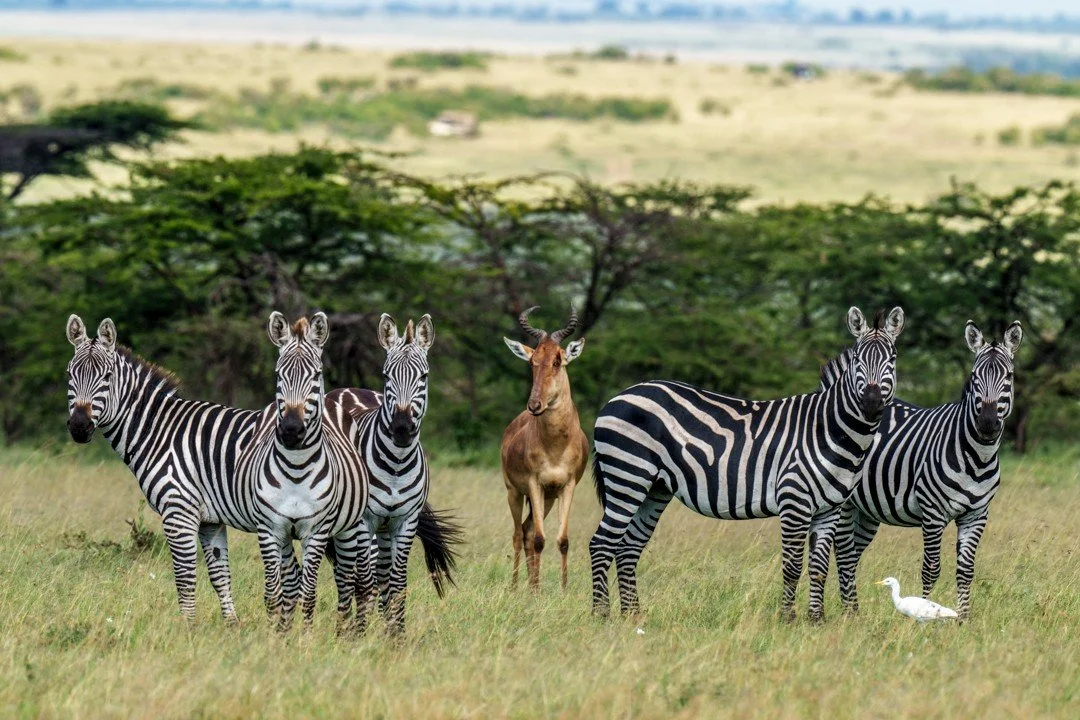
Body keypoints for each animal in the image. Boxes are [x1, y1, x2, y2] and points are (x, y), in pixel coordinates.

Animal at [64, 314, 311, 623]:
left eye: (107, 377)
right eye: (70, 374)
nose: (79, 426)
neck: (159, 431)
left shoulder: (178, 510)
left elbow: (185, 577)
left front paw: (187, 627)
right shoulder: (210, 519)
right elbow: (220, 576)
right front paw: (232, 625)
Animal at [234, 312, 372, 632]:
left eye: (316, 374)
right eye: (278, 375)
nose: (291, 430)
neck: (296, 468)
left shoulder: (317, 531)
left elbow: (309, 594)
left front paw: (306, 638)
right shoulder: (269, 528)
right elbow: (274, 593)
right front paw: (276, 635)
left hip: (349, 527)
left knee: (346, 581)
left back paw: (344, 631)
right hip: (286, 535)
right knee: (290, 582)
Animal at [327, 313, 463, 636]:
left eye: (424, 377)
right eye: (387, 376)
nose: (402, 428)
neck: (396, 466)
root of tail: (343, 389)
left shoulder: (405, 520)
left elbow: (397, 583)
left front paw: (396, 636)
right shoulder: (364, 521)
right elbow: (362, 582)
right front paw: (359, 637)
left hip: (384, 530)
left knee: (379, 578)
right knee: (346, 575)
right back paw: (345, 627)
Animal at [589, 306, 905, 622]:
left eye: (892, 358)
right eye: (857, 359)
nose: (871, 403)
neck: (828, 429)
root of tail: (619, 396)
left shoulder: (830, 509)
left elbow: (818, 568)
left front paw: (816, 620)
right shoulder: (794, 501)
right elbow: (792, 566)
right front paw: (788, 619)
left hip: (654, 488)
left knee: (628, 547)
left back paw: (632, 614)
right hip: (628, 476)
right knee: (602, 543)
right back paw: (601, 615)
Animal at [830, 320, 1023, 620]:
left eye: (1010, 376)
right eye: (974, 376)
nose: (988, 423)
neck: (977, 458)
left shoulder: (977, 515)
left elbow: (966, 571)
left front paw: (963, 620)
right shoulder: (933, 513)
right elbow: (931, 570)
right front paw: (926, 612)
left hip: (868, 511)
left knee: (851, 555)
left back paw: (853, 611)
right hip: (845, 503)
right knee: (842, 551)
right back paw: (850, 612)